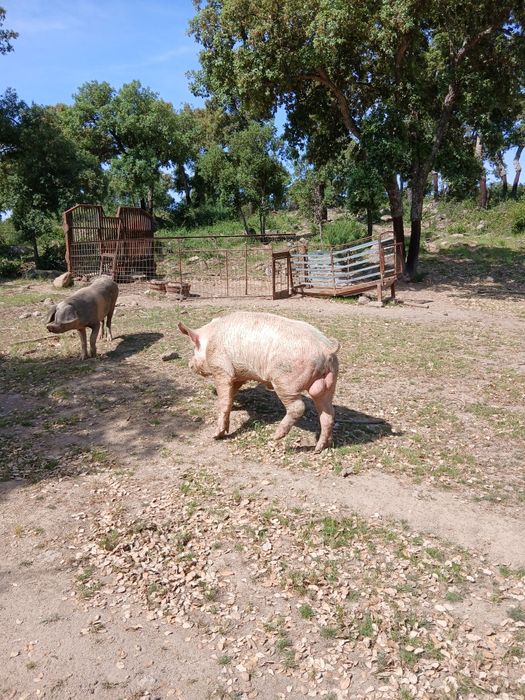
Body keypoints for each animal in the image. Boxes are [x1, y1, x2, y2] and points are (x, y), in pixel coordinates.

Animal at [178, 312, 340, 453]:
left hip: (285, 381)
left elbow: (224, 400)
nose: (189, 364)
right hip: (329, 385)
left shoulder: (222, 369)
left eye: (194, 348)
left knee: (298, 407)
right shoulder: (238, 376)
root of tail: (326, 349)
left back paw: (275, 437)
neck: (209, 341)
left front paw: (216, 435)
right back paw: (319, 448)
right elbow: (231, 395)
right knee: (329, 413)